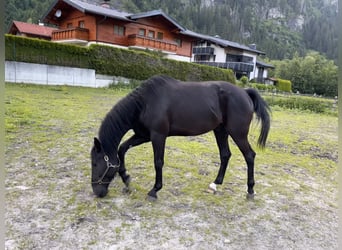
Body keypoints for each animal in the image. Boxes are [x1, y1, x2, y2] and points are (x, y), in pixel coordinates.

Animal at [90, 75, 270, 200]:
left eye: (95, 163)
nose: (97, 192)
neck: (145, 103)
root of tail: (245, 92)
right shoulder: (143, 135)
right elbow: (122, 149)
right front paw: (126, 180)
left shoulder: (158, 136)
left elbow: (158, 162)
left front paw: (154, 190)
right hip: (220, 131)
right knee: (225, 155)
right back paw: (215, 184)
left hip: (237, 133)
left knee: (249, 156)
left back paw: (250, 191)